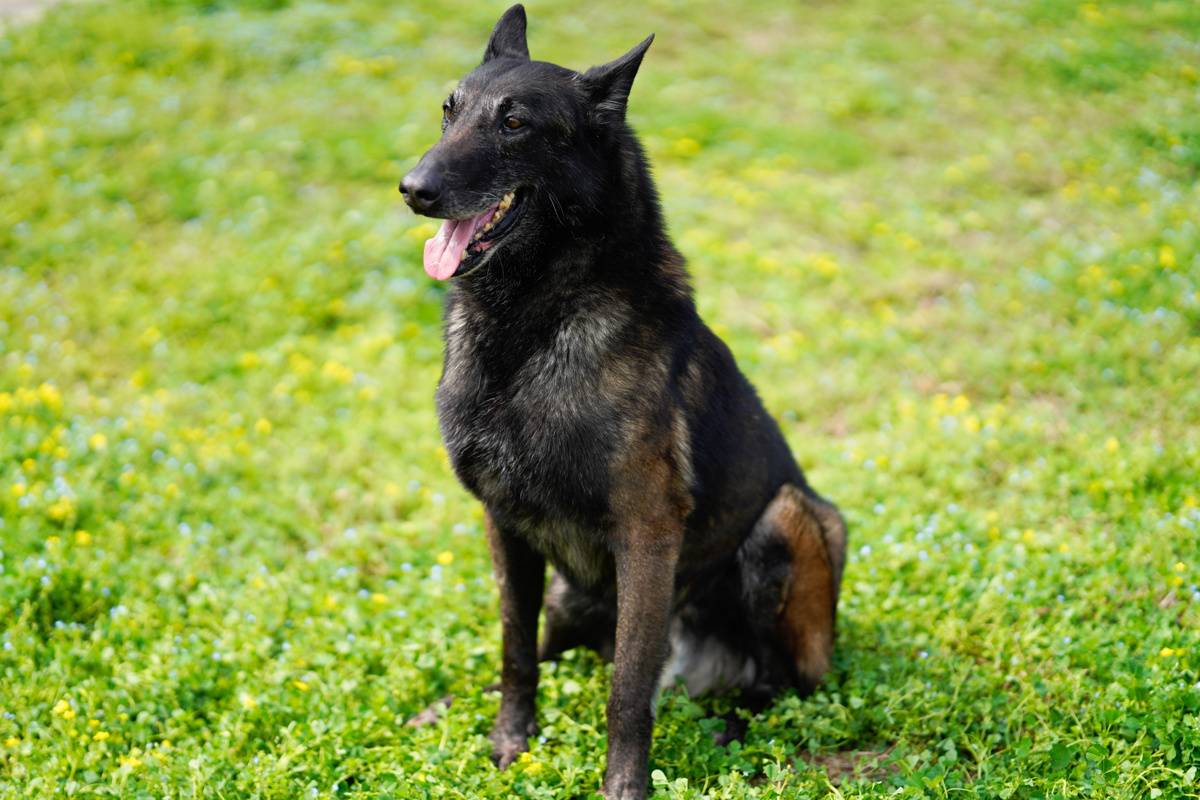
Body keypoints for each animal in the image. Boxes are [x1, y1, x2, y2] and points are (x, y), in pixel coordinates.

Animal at [399, 6, 848, 798]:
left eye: (514, 123)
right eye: (448, 111)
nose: (412, 188)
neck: (530, 325)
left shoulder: (647, 535)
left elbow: (629, 692)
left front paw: (623, 786)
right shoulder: (503, 525)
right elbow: (513, 650)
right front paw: (508, 738)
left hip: (794, 521)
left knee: (774, 685)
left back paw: (733, 731)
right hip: (568, 594)